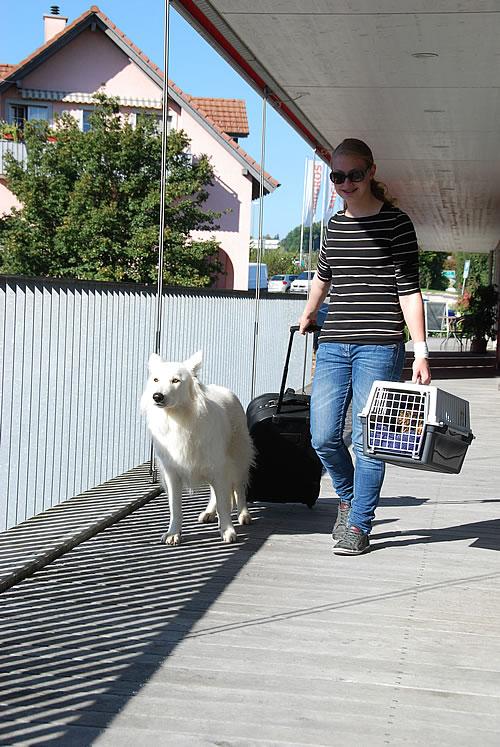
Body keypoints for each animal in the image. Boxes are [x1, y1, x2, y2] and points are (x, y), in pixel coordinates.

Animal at [141, 350, 254, 544]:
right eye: (155, 379)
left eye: (175, 380)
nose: (157, 396)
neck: (177, 420)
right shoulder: (172, 474)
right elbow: (175, 508)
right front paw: (173, 533)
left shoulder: (218, 467)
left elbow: (224, 503)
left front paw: (228, 531)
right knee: (215, 491)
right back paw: (209, 513)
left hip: (237, 458)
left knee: (239, 487)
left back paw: (243, 514)